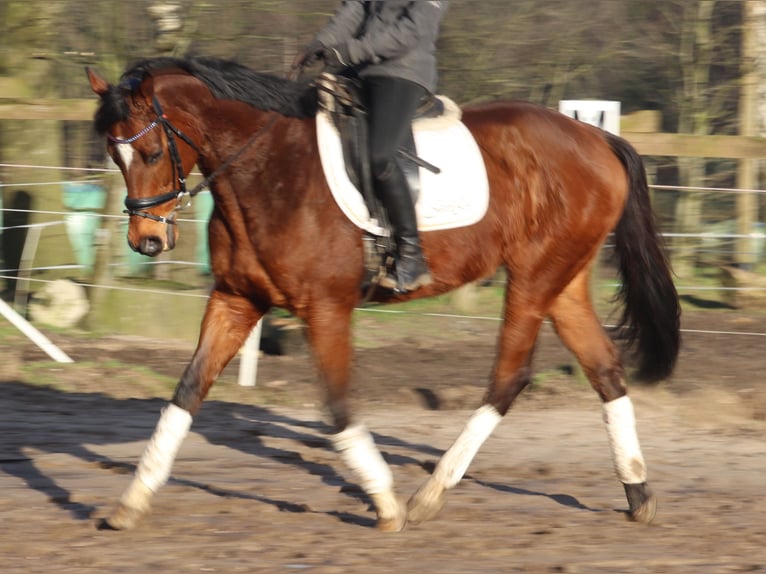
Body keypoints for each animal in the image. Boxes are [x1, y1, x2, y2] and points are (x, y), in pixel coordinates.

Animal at [87, 56, 680, 532]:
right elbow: (186, 392)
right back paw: (638, 493)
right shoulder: (237, 299)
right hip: (565, 281)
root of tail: (596, 138)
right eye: (115, 156)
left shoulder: (324, 308)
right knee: (604, 369)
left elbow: (338, 406)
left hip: (535, 276)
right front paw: (131, 502)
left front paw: (386, 505)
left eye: (151, 151)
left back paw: (428, 495)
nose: (146, 241)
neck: (267, 170)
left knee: (509, 378)